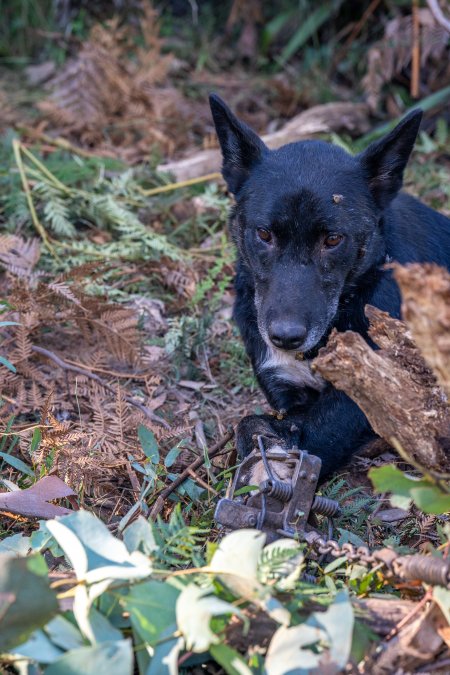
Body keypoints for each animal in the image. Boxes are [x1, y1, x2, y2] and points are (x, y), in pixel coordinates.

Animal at [211, 93, 450, 476]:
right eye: (264, 234)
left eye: (333, 240)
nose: (285, 337)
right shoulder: (284, 387)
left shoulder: (368, 398)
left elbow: (260, 426)